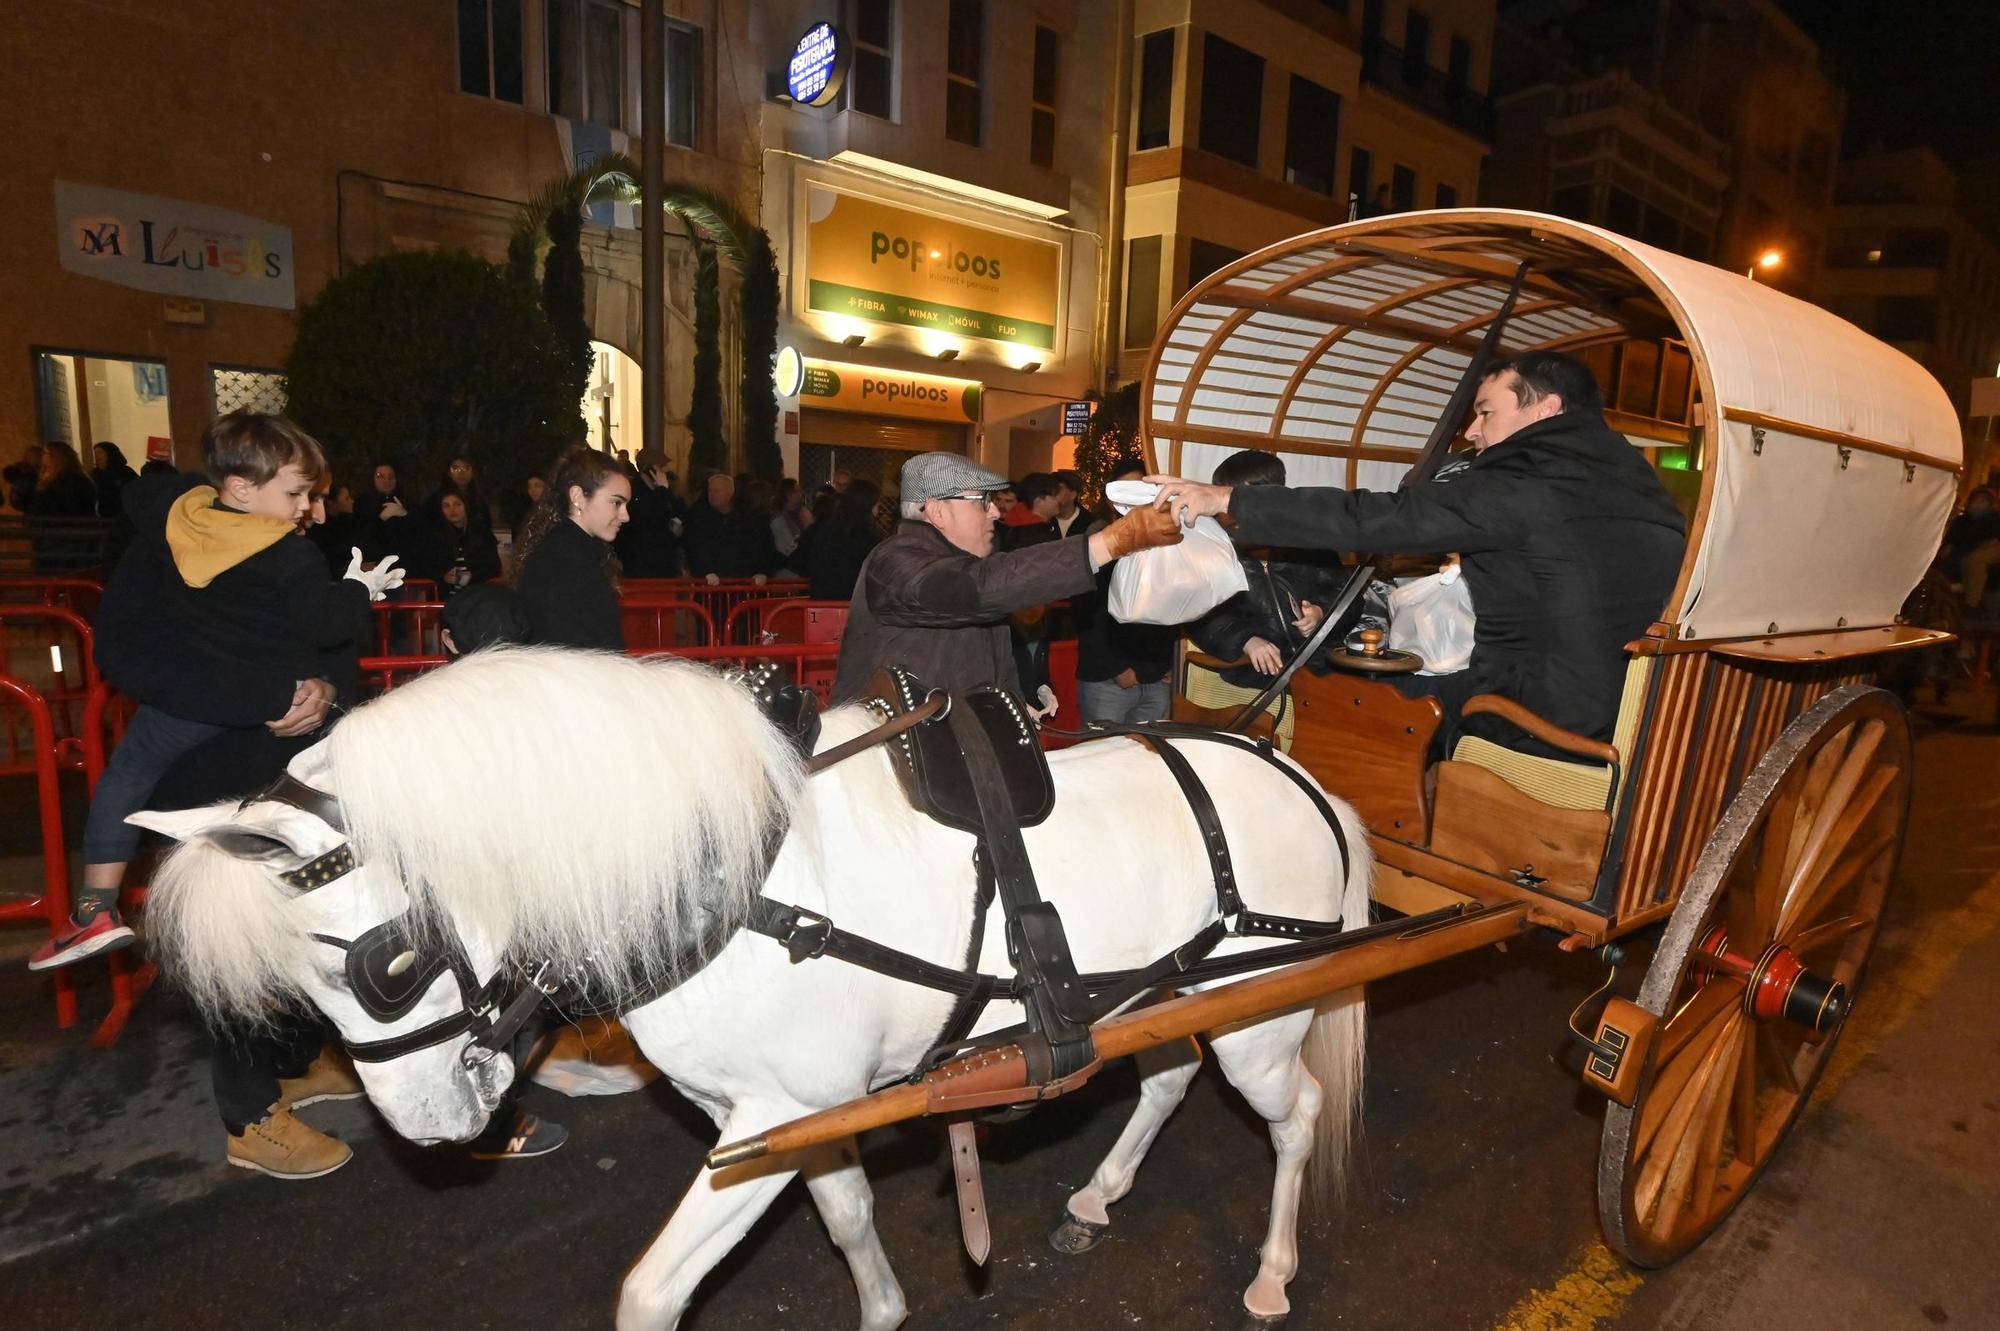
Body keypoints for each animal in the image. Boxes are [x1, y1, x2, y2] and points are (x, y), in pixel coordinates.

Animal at [137, 647, 1360, 1319]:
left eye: (387, 964)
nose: (430, 1126)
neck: (739, 879)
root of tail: (1288, 769)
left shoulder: (767, 1121)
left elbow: (654, 1290)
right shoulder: (793, 1114)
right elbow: (847, 1213)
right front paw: (882, 1307)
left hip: (1261, 1012)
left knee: (1293, 1113)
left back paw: (1272, 1270)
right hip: (1166, 991)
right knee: (1163, 1081)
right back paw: (1098, 1194)